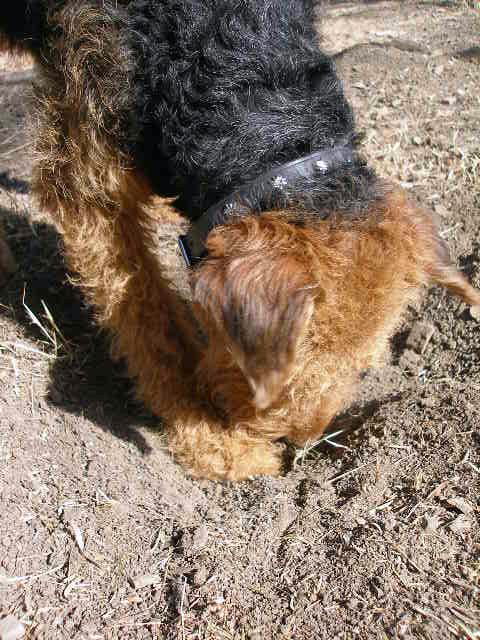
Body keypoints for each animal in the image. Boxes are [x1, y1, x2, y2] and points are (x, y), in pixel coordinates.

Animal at [1, 1, 478, 480]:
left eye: (363, 370)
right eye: (282, 369)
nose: (300, 443)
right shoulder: (90, 171)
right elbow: (147, 317)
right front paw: (215, 441)